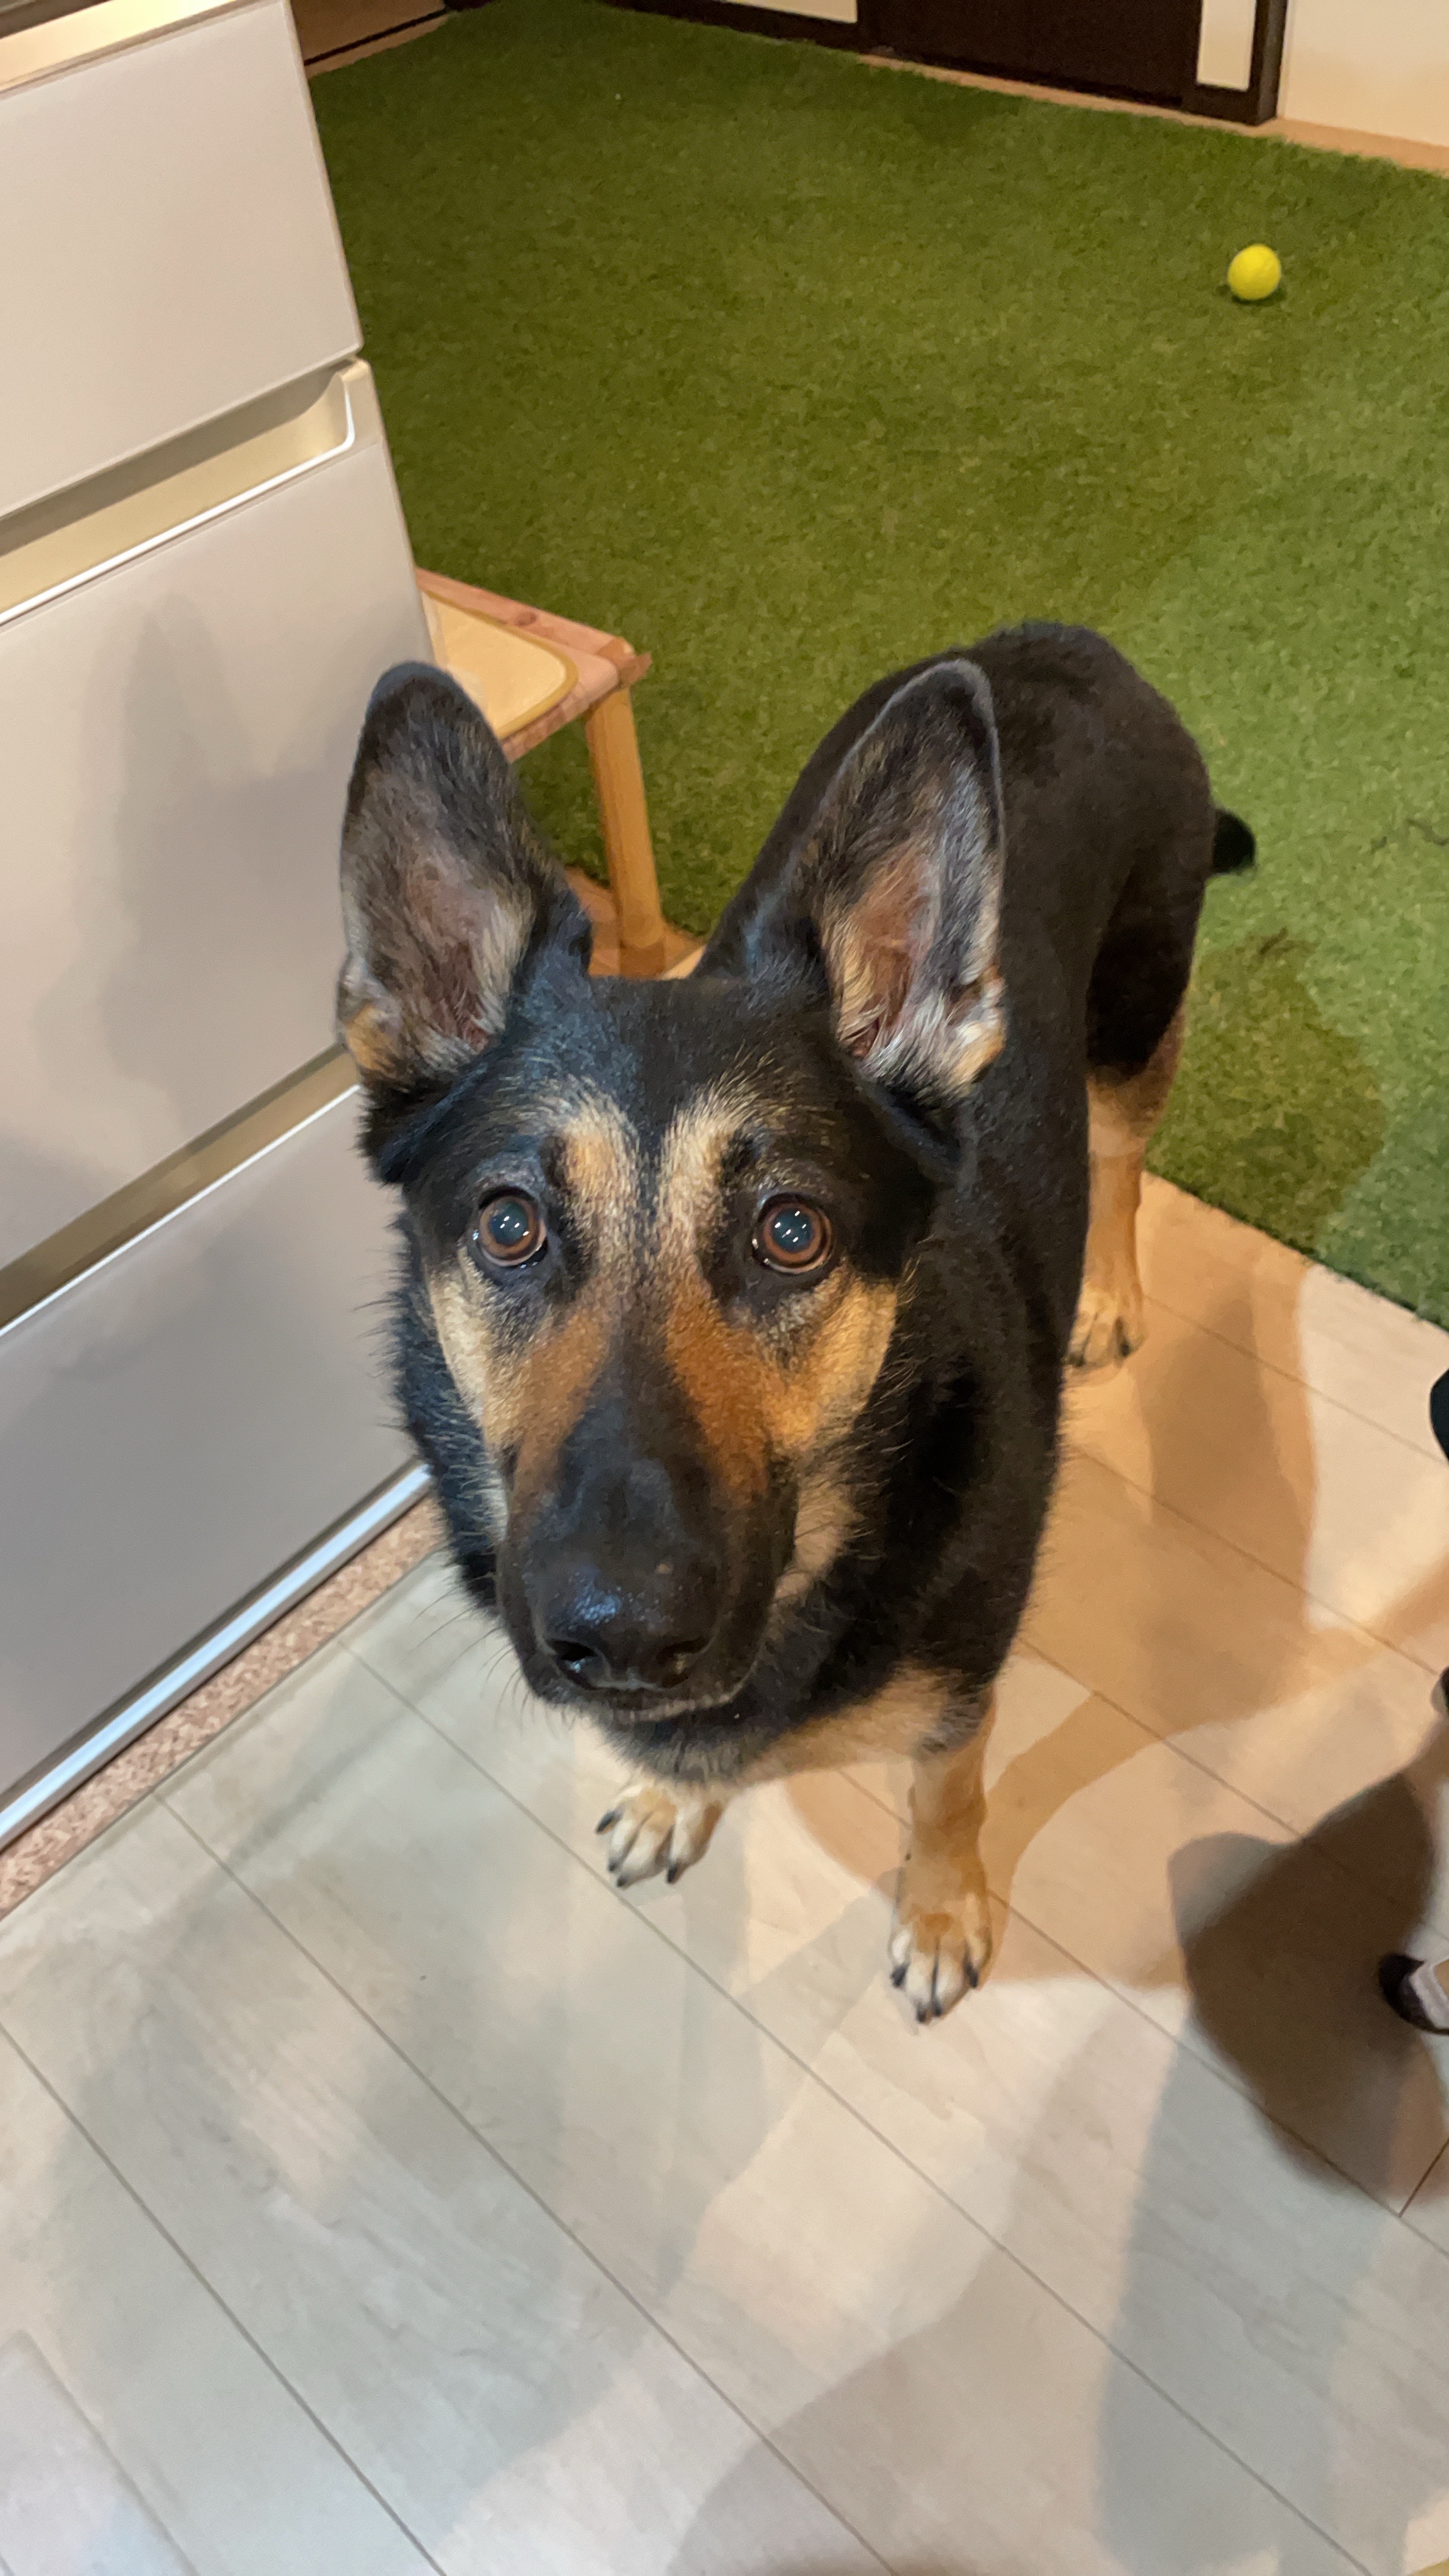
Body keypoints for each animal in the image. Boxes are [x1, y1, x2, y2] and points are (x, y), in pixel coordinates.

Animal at [336, 624, 1252, 2020]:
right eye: (507, 1225)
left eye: (792, 1232)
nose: (624, 1633)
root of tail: (1061, 641)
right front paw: (674, 1797)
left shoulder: (959, 1692)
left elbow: (946, 1795)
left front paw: (940, 1912)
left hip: (1138, 1016)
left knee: (1125, 1151)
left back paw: (1108, 1289)